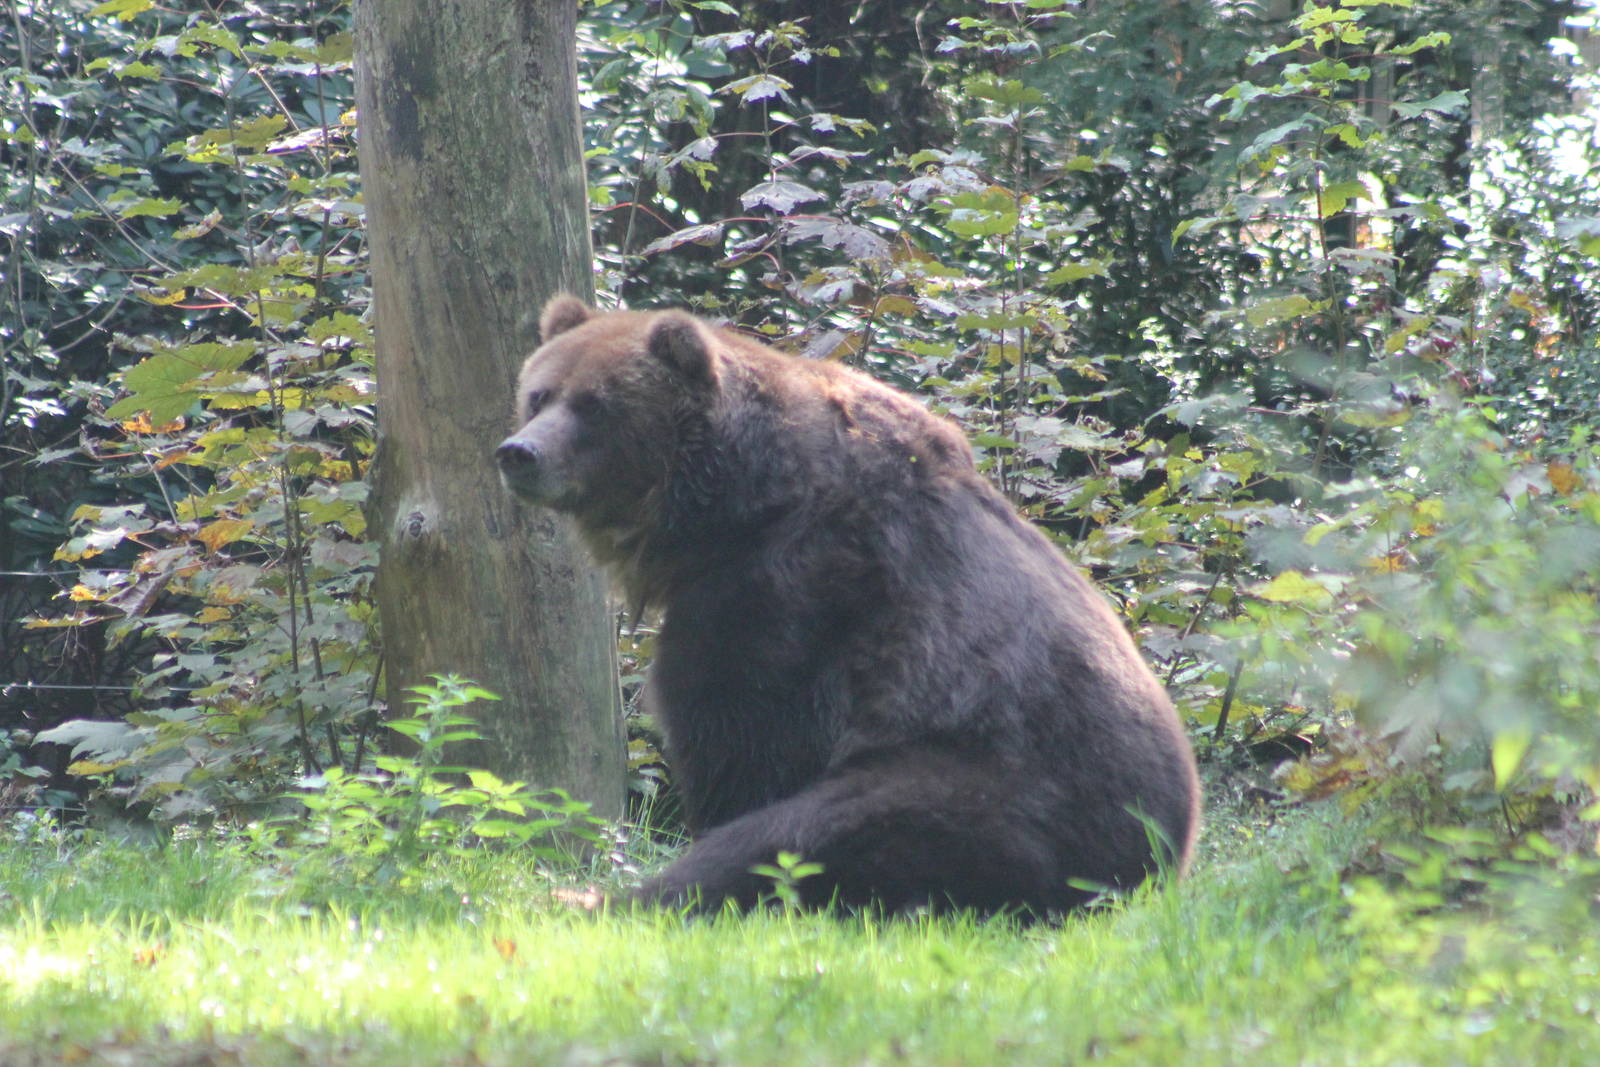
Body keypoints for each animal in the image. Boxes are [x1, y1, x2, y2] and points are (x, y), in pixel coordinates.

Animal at [495, 295, 1201, 916]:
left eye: (595, 404)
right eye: (540, 394)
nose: (519, 453)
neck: (734, 504)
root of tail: (1158, 866)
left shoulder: (788, 589)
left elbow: (743, 731)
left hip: (998, 786)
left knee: (811, 830)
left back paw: (592, 899)